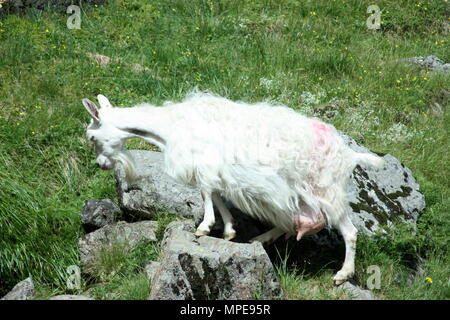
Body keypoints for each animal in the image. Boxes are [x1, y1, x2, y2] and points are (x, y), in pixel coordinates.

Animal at [81, 91, 384, 284]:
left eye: (92, 136)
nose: (101, 165)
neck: (170, 129)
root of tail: (349, 155)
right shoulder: (217, 170)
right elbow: (215, 194)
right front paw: (228, 229)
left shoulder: (205, 163)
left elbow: (206, 192)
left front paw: (205, 227)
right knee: (295, 221)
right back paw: (262, 238)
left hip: (327, 189)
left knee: (350, 232)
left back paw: (343, 274)